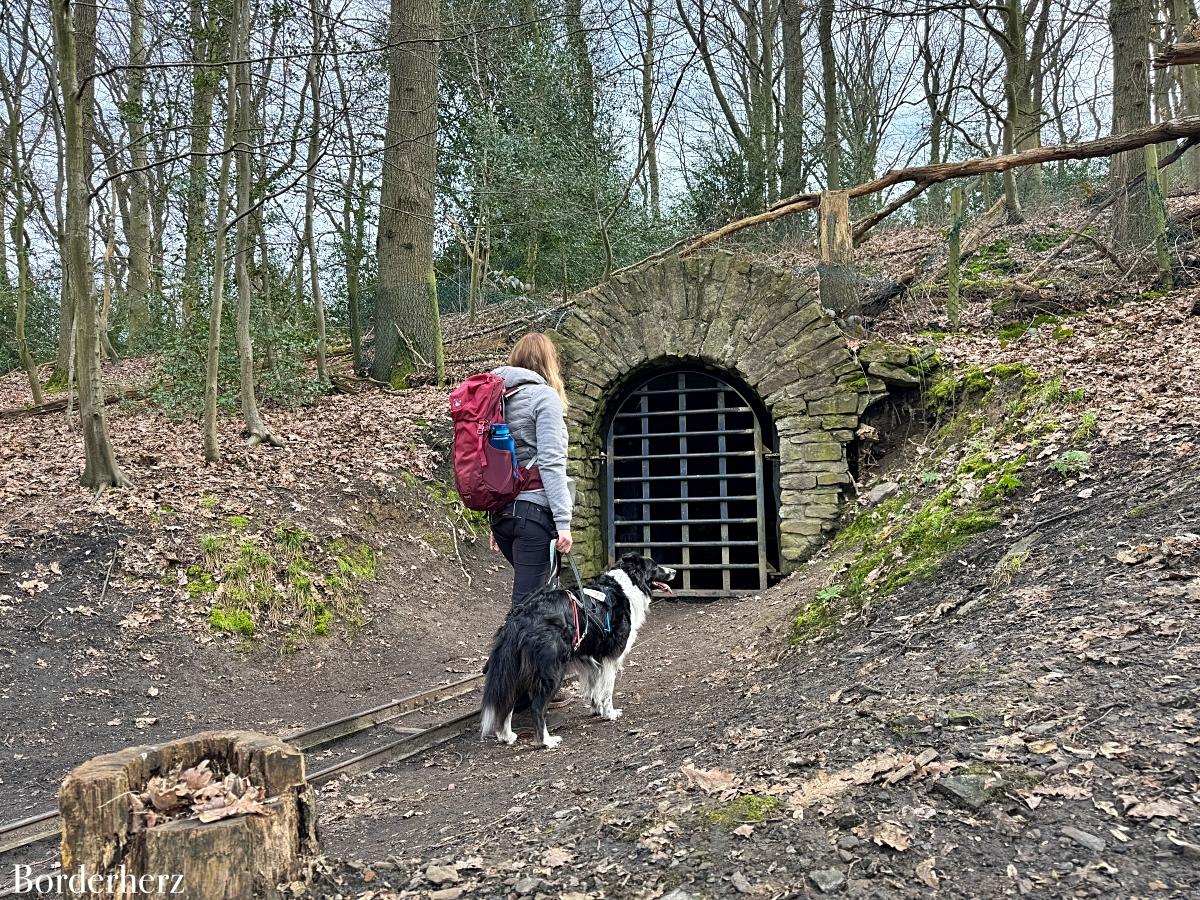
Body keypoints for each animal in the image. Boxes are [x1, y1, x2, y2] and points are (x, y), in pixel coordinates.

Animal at [480, 554, 676, 748]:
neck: (627, 584)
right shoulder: (610, 657)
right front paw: (610, 713)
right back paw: (546, 741)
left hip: (519, 671)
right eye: (655, 566)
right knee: (536, 707)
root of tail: (518, 620)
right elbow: (607, 690)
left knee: (507, 703)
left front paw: (596, 709)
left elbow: (594, 687)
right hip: (551, 671)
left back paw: (506, 736)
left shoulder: (590, 657)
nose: (674, 571)